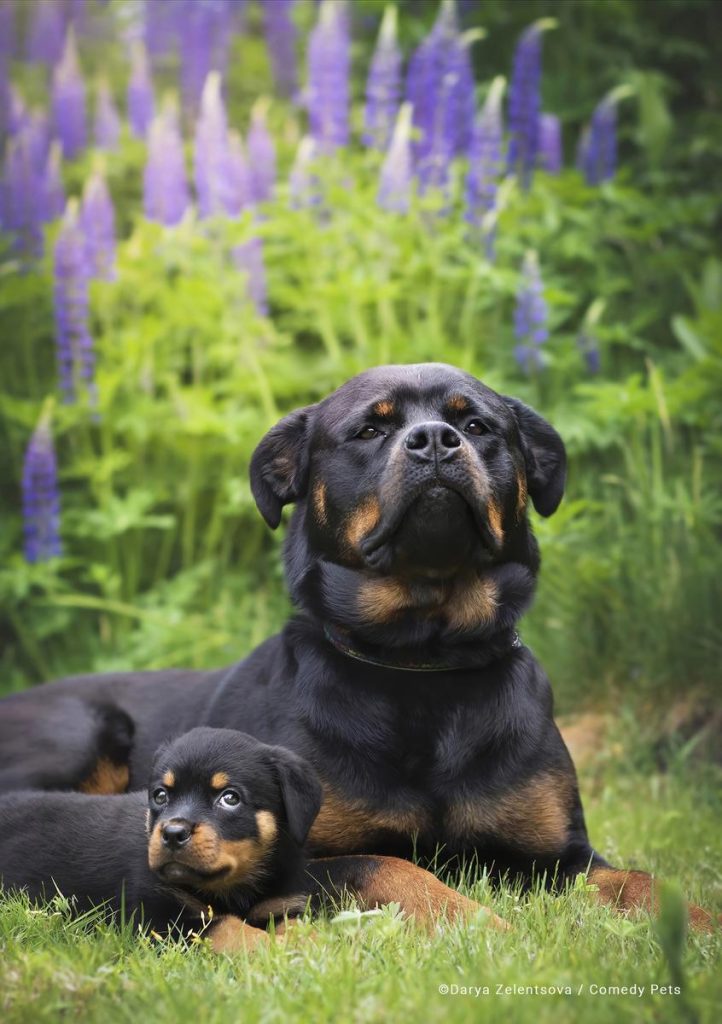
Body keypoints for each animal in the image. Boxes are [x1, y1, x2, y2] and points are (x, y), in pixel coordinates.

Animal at [0, 364, 708, 933]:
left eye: (477, 425)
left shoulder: (562, 855)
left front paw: (702, 924)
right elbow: (397, 869)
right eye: (369, 431)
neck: (422, 661)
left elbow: (642, 882)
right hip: (79, 731)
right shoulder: (306, 854)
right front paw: (480, 923)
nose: (434, 440)